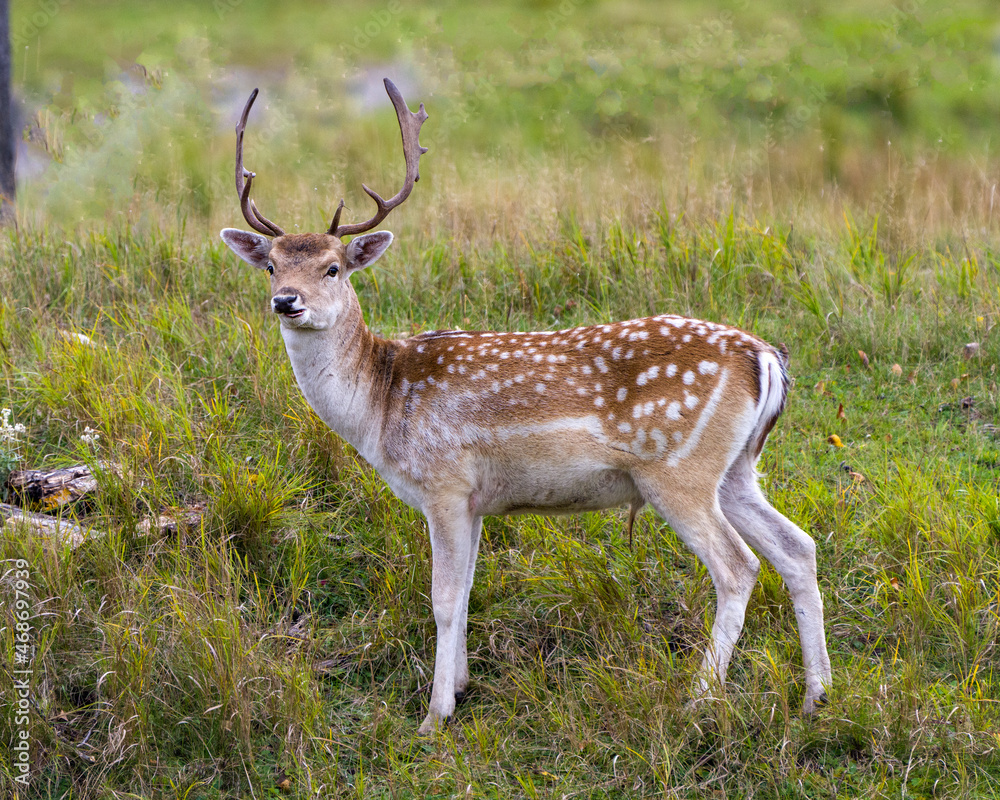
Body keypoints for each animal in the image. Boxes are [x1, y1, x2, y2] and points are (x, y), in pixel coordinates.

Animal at [223, 78, 832, 736]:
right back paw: (816, 697)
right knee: (798, 548)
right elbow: (466, 590)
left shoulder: (444, 483)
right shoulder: (476, 500)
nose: (287, 301)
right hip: (737, 468)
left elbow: (443, 599)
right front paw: (461, 685)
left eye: (333, 267)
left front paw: (434, 717)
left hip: (678, 469)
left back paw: (698, 698)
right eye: (272, 264)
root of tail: (765, 358)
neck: (381, 405)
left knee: (737, 567)